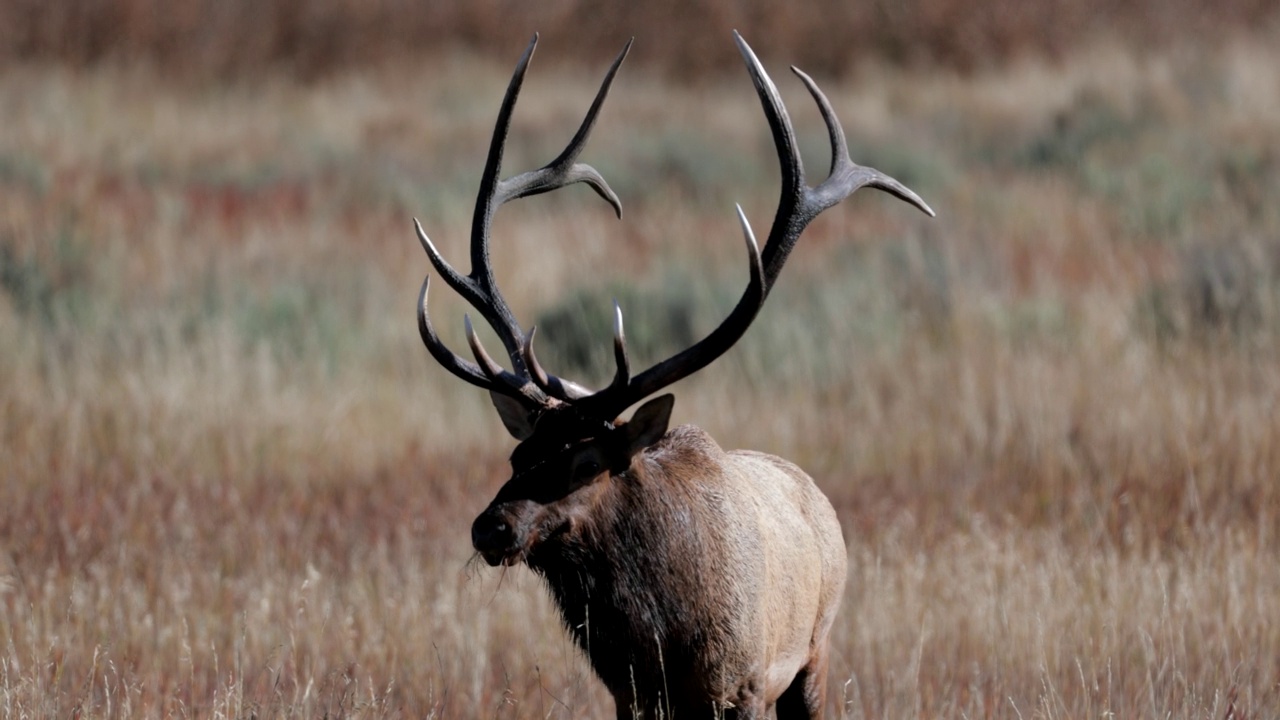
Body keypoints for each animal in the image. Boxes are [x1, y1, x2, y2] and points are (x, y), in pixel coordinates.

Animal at [414, 30, 936, 712]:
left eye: (588, 461)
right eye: (516, 456)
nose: (490, 527)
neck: (661, 642)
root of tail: (817, 495)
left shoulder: (743, 682)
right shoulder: (628, 693)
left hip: (814, 651)